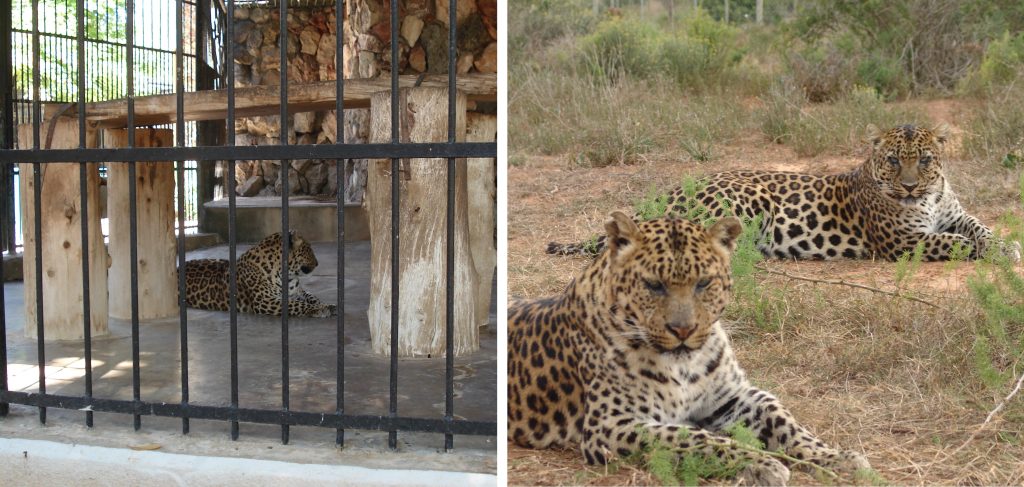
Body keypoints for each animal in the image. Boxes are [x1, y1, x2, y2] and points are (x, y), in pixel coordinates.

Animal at [184, 230, 335, 317]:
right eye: (308, 248)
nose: (317, 263)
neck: (287, 275)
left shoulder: (297, 292)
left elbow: (311, 296)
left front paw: (325, 304)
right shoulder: (265, 301)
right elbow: (298, 305)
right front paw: (322, 309)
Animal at [507, 213, 868, 486]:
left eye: (703, 283)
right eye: (653, 285)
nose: (683, 330)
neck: (683, 364)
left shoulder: (732, 398)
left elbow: (784, 422)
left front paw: (837, 457)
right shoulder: (610, 424)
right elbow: (690, 438)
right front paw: (762, 464)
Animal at [552, 125, 1024, 261]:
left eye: (924, 160)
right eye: (892, 160)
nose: (909, 186)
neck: (929, 198)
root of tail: (671, 191)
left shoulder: (952, 212)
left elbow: (977, 227)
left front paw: (1006, 246)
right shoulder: (903, 240)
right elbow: (954, 241)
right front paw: (987, 250)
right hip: (746, 199)